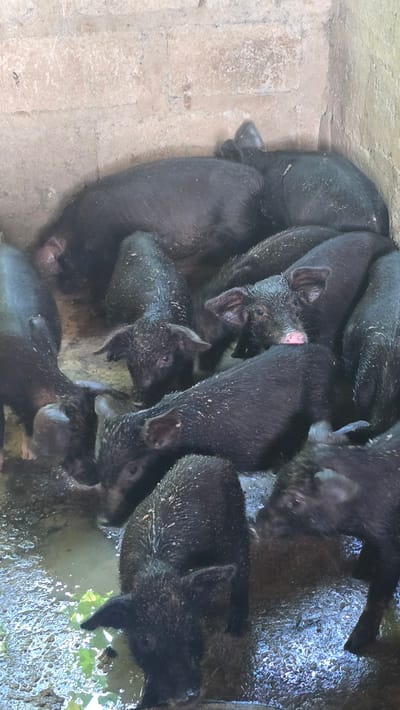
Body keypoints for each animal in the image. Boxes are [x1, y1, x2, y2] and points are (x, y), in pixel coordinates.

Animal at [32, 157, 265, 299]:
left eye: (64, 260)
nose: (63, 288)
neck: (78, 232)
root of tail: (257, 179)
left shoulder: (104, 246)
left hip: (234, 221)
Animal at [80, 454, 250, 708]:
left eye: (191, 628)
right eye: (146, 640)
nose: (187, 696)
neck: (155, 572)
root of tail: (210, 458)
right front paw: (145, 701)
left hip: (236, 523)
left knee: (242, 568)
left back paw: (235, 627)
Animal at [94, 232, 210, 406]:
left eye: (165, 358)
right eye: (131, 359)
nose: (139, 397)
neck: (154, 316)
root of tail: (138, 234)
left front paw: (187, 387)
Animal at [255, 421, 400, 654]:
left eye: (295, 501)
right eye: (277, 481)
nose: (255, 524)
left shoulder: (393, 547)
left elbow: (377, 594)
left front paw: (352, 646)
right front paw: (359, 573)